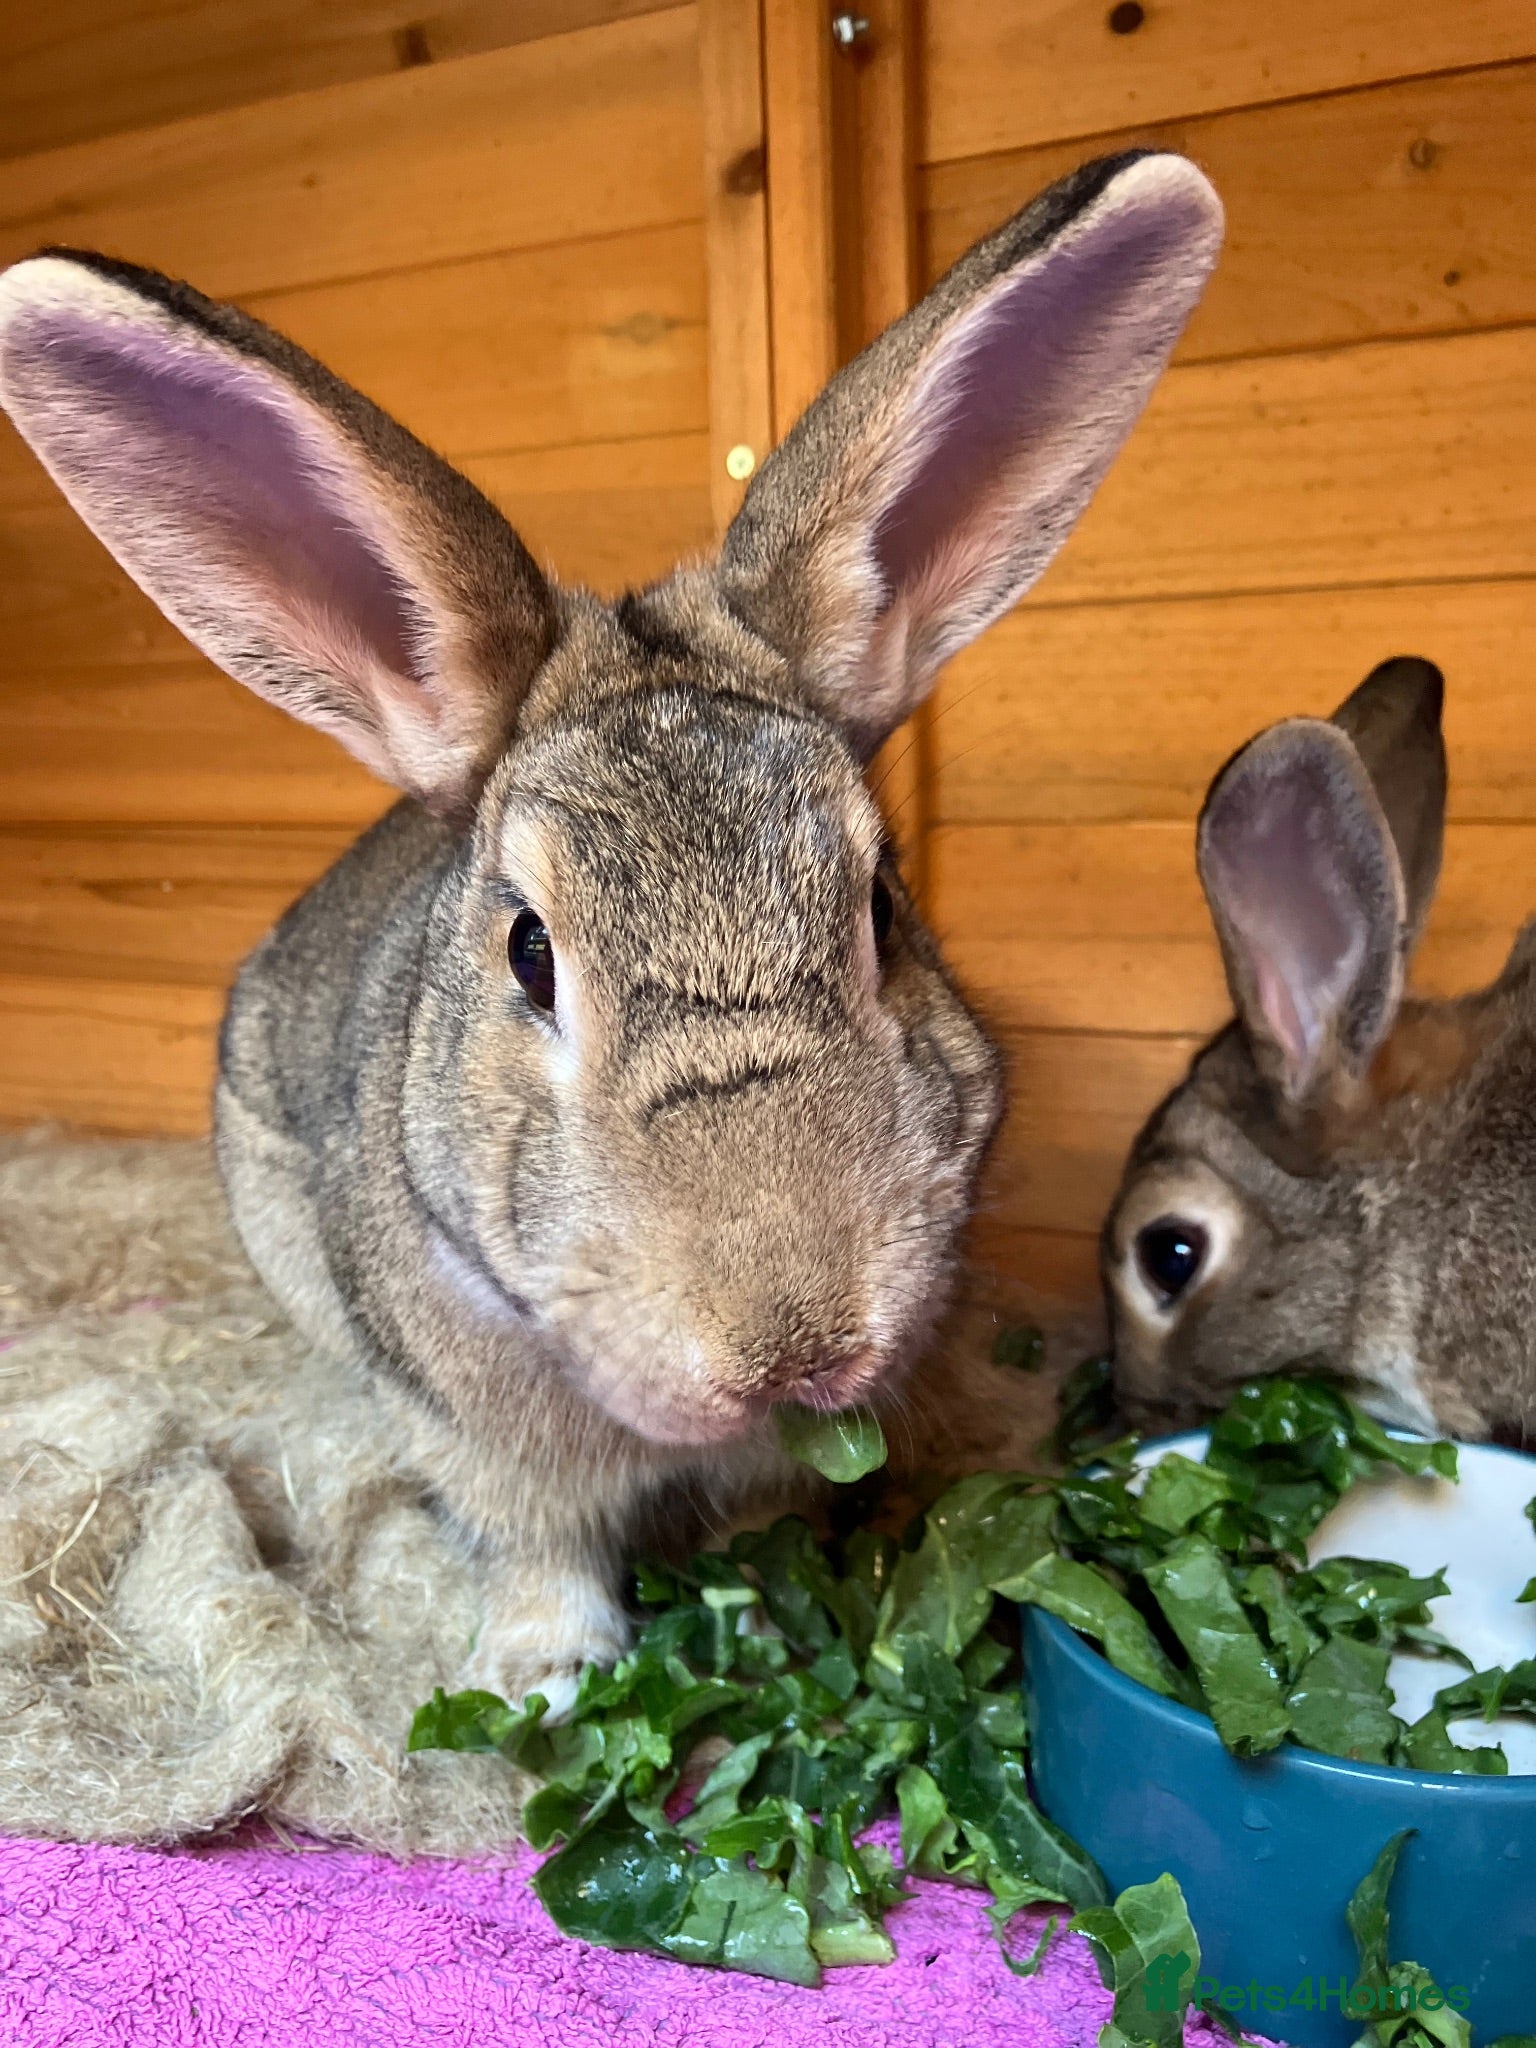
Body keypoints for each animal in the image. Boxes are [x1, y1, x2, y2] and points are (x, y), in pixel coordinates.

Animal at [0, 151, 1223, 1712]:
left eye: (881, 911)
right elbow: (530, 1536)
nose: (790, 1345)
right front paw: (550, 1676)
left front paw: (760, 1631)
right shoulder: (479, 1430)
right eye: (530, 951)